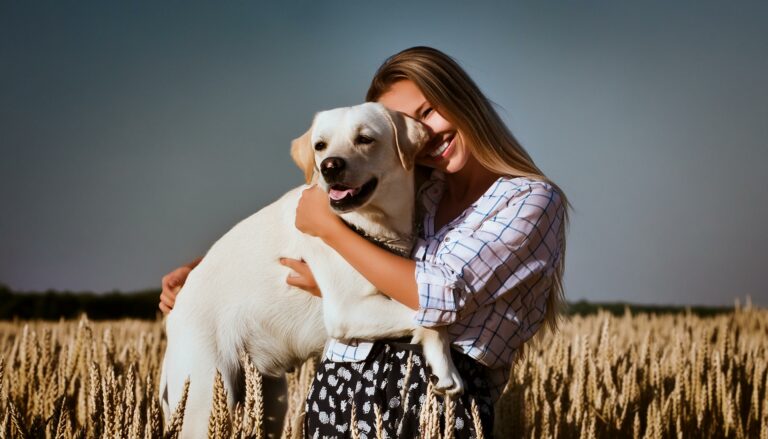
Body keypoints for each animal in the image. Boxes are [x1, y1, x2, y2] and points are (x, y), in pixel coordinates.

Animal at [160, 102, 462, 436]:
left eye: (365, 139)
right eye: (320, 146)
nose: (330, 166)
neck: (369, 224)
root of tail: (174, 317)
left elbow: (431, 313)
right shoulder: (347, 309)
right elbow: (432, 319)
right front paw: (446, 369)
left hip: (269, 402)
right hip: (205, 401)